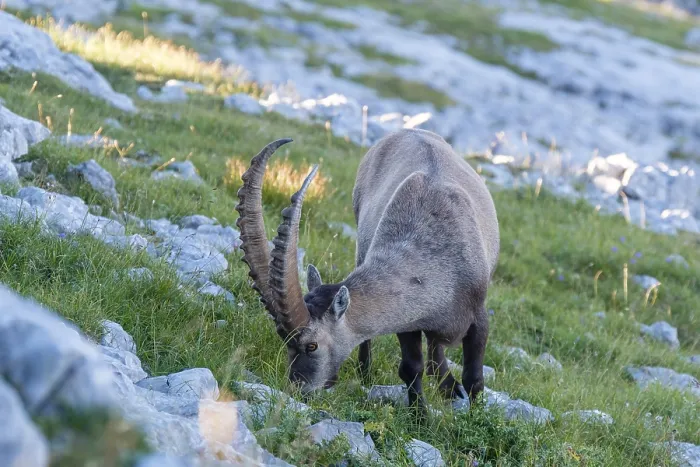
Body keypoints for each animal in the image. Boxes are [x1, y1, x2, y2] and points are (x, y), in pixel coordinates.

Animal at [235, 128, 500, 409]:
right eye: (283, 339)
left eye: (312, 346)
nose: (299, 390)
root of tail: (407, 131)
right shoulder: (406, 322)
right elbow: (410, 367)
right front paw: (420, 415)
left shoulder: (478, 316)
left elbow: (474, 378)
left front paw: (474, 415)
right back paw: (368, 372)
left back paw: (448, 386)